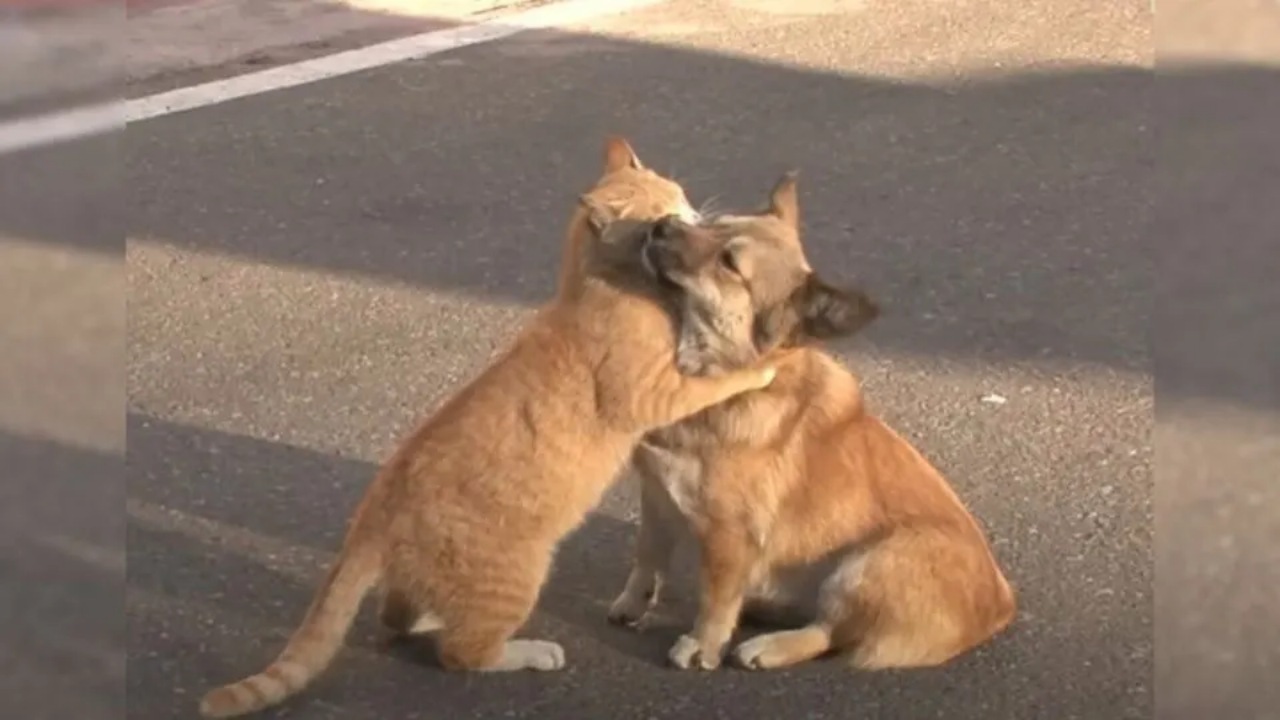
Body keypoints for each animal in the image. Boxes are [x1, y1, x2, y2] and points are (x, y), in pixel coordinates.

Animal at [194, 169, 773, 717]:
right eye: (663, 214)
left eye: (681, 196)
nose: (692, 215)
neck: (593, 283)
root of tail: (373, 511)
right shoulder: (655, 393)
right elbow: (718, 379)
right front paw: (762, 366)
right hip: (517, 576)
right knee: (462, 653)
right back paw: (529, 651)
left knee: (398, 616)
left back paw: (428, 619)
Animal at [604, 172, 1013, 666]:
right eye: (713, 223)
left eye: (729, 263)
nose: (661, 224)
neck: (722, 384)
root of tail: (1001, 605)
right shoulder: (657, 497)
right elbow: (647, 557)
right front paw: (632, 601)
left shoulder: (729, 536)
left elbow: (715, 599)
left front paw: (703, 645)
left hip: (868, 563)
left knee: (830, 631)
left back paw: (768, 646)